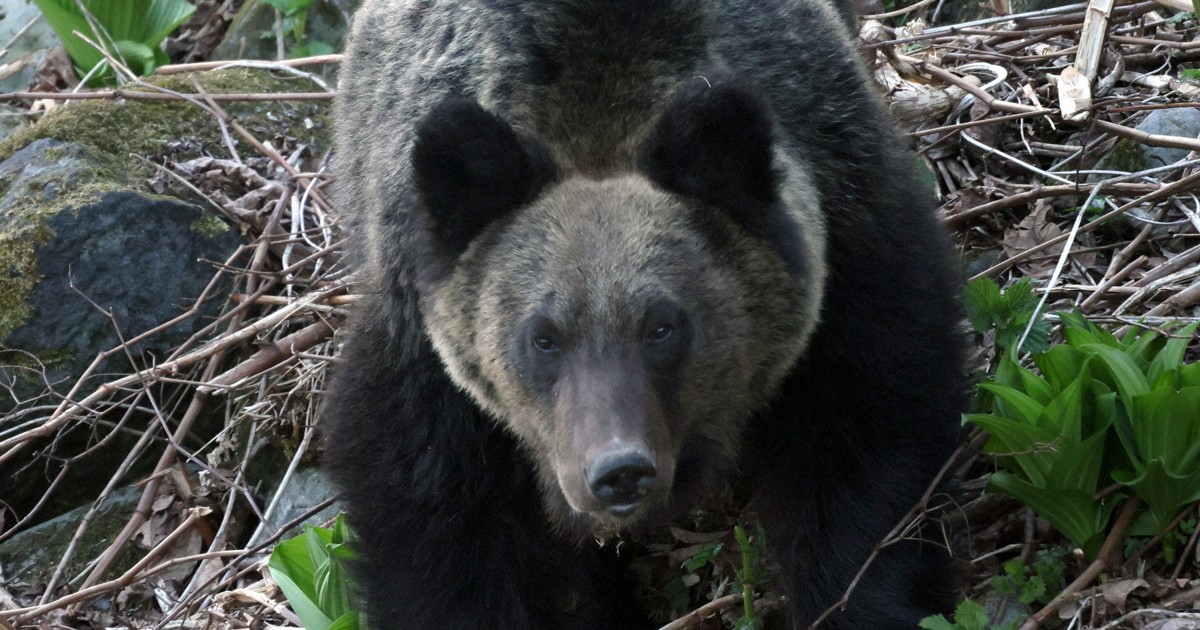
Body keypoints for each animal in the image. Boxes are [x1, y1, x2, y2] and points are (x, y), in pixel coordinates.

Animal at [321, 0, 966, 628]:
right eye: (543, 338)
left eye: (663, 326)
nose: (619, 472)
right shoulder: (429, 373)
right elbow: (448, 538)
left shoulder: (851, 256)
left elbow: (865, 448)